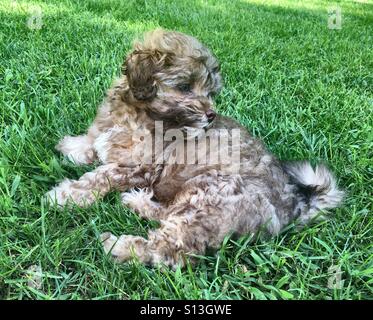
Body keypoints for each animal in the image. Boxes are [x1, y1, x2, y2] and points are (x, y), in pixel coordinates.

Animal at [44, 28, 342, 268]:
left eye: (210, 92)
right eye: (185, 87)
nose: (210, 115)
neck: (141, 113)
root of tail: (296, 204)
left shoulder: (142, 166)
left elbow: (101, 176)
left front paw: (67, 195)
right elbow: (94, 142)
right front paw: (72, 146)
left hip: (210, 194)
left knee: (169, 248)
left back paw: (121, 246)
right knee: (167, 216)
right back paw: (137, 202)